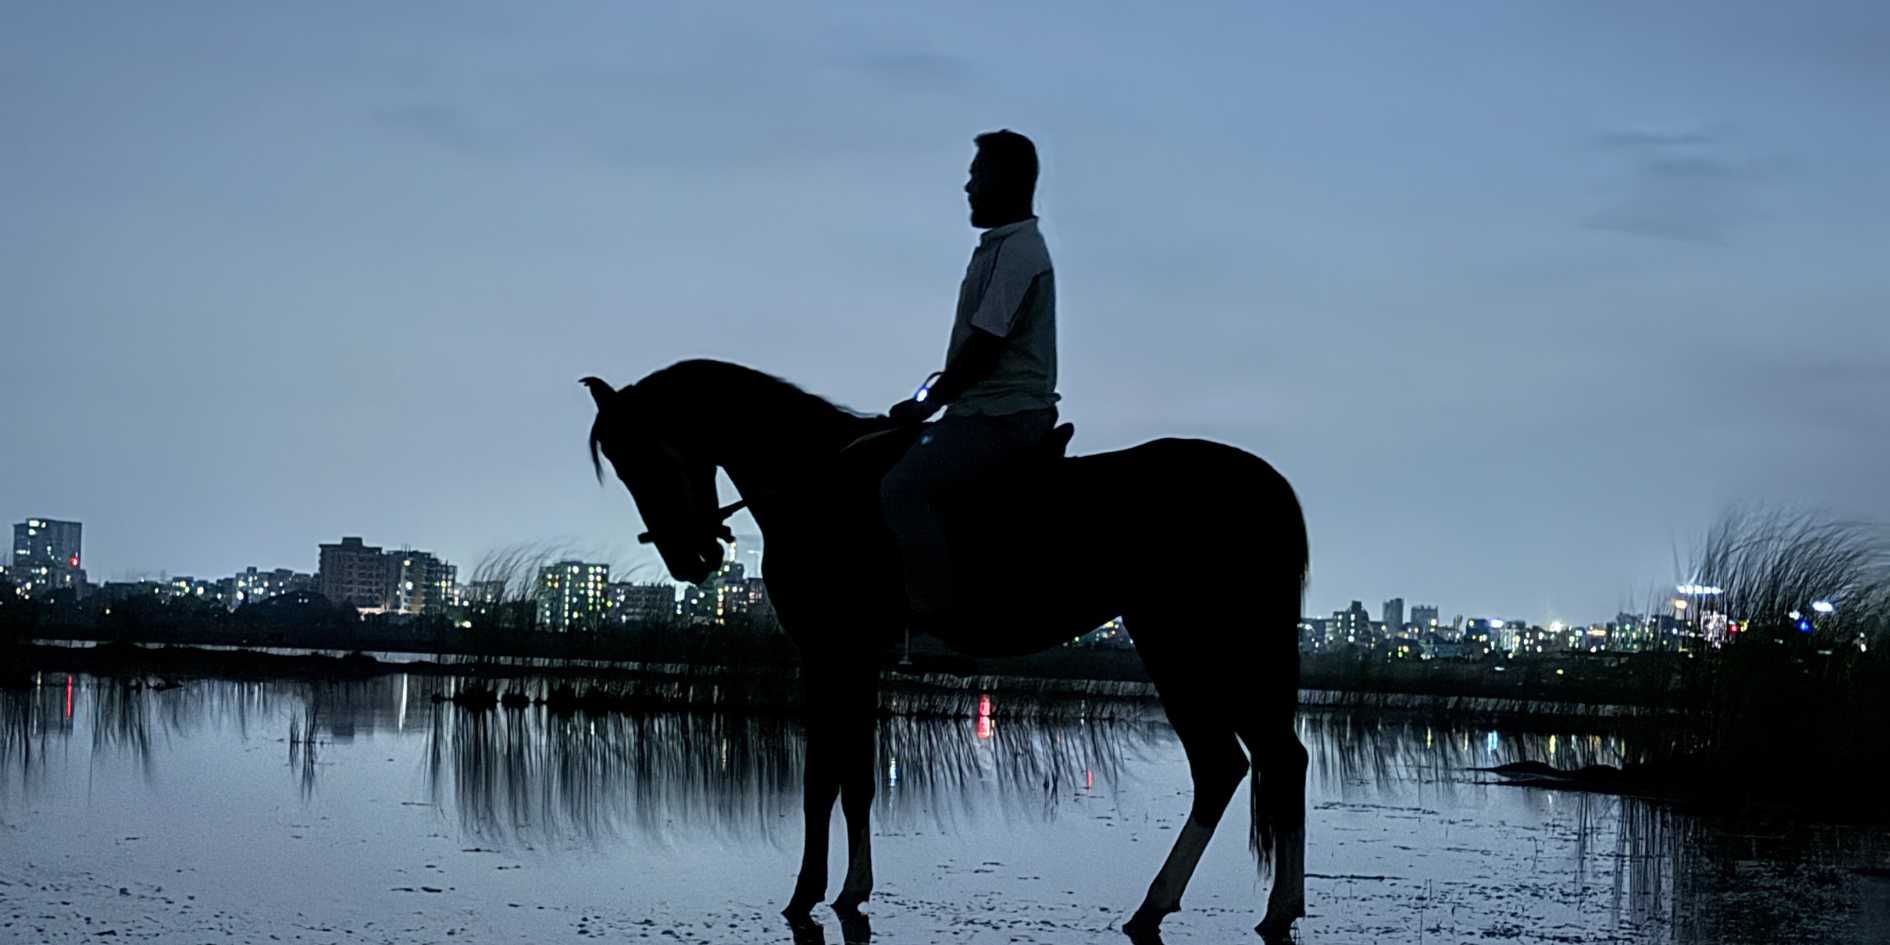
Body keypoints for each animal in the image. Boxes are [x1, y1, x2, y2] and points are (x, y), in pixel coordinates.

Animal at [582, 359, 1310, 942]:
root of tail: (1259, 482)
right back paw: (1254, 908)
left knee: (1230, 763)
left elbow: (821, 779)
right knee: (1269, 761)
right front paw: (852, 890)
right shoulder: (858, 661)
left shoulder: (828, 653)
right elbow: (858, 779)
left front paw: (804, 895)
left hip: (1186, 642)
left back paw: (1181, 906)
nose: (691, 558)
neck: (821, 484)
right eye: (617, 462)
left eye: (639, 455)